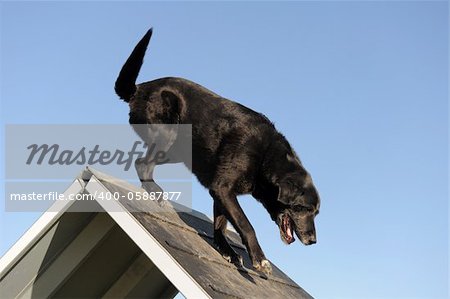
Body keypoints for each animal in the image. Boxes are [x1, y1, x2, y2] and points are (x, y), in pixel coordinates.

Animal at [116, 29, 320, 276]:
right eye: (304, 208)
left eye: (316, 213)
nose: (313, 241)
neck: (265, 158)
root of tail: (138, 90)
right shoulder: (223, 187)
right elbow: (245, 224)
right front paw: (259, 259)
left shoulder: (220, 191)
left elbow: (221, 225)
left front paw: (227, 251)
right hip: (168, 134)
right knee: (141, 163)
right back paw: (156, 192)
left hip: (179, 151)